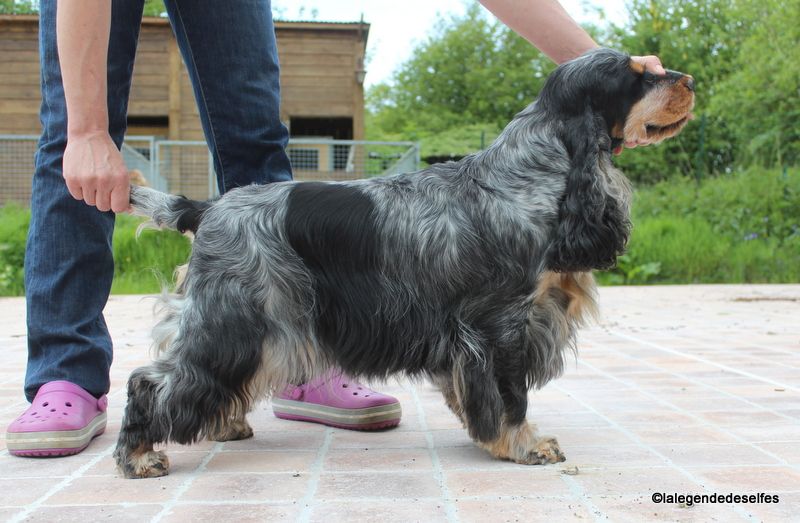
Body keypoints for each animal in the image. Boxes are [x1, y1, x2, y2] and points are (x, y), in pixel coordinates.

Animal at [114, 48, 694, 478]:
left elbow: (473, 394)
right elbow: (511, 397)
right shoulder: (503, 325)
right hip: (237, 317)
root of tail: (206, 206)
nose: (688, 79)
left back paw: (221, 425)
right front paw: (525, 445)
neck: (531, 174)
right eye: (637, 76)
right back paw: (139, 456)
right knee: (151, 380)